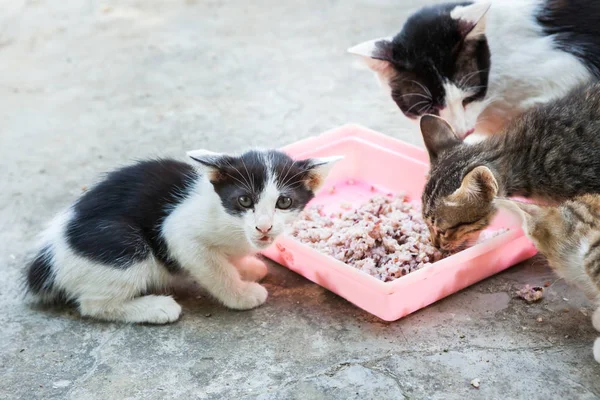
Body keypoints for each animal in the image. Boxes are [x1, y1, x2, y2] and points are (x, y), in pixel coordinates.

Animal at [23, 148, 340, 324]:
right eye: (244, 200)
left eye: (284, 202)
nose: (264, 227)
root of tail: (48, 256)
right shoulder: (178, 233)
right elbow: (215, 269)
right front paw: (241, 293)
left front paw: (246, 267)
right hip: (122, 242)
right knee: (93, 305)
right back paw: (155, 308)